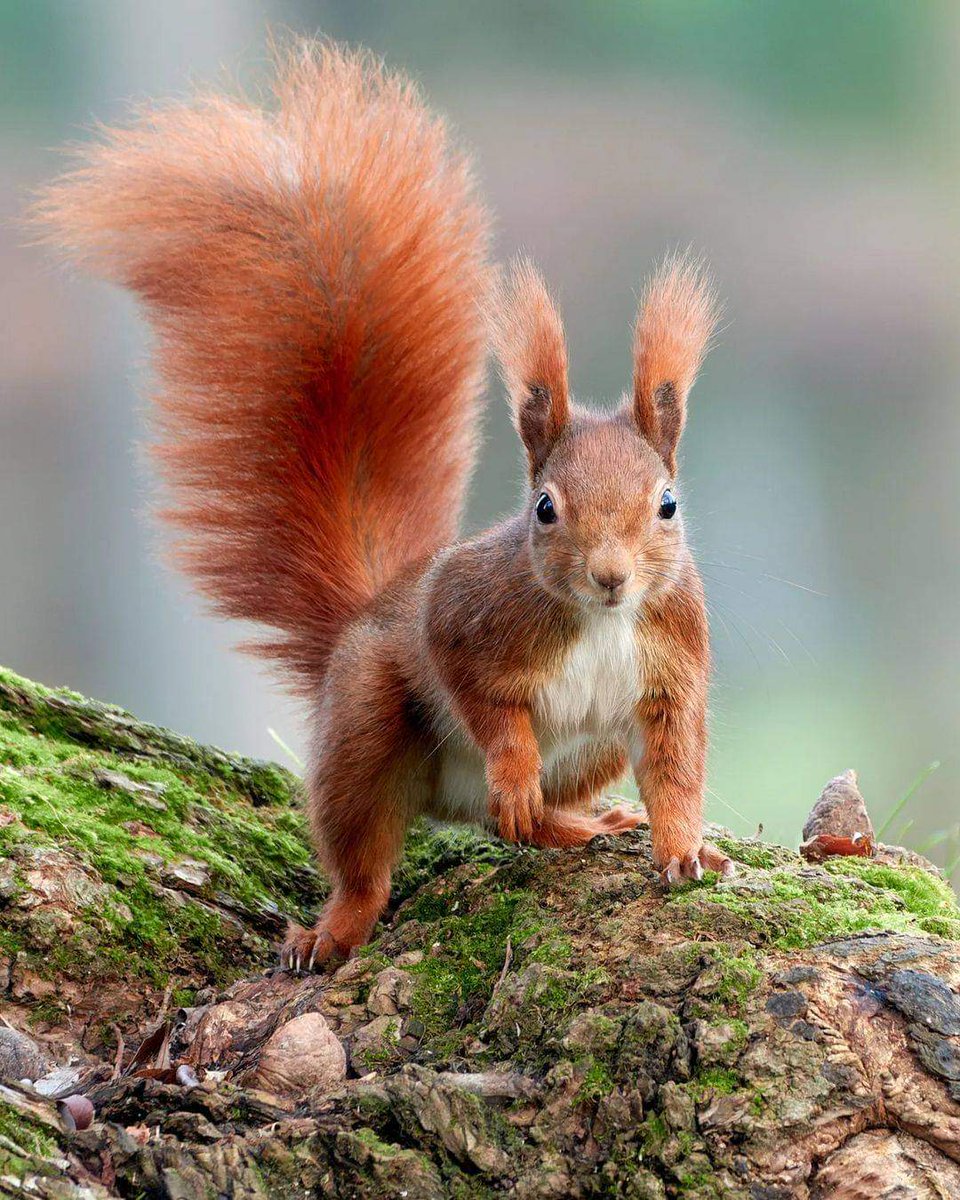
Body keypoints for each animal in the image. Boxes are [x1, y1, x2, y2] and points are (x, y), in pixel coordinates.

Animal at [30, 42, 734, 969]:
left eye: (669, 505)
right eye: (544, 509)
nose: (611, 578)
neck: (601, 622)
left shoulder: (672, 669)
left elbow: (678, 767)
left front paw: (684, 848)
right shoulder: (464, 619)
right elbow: (482, 696)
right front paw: (515, 766)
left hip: (587, 753)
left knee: (518, 825)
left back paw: (579, 824)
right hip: (365, 721)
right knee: (373, 850)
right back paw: (343, 923)